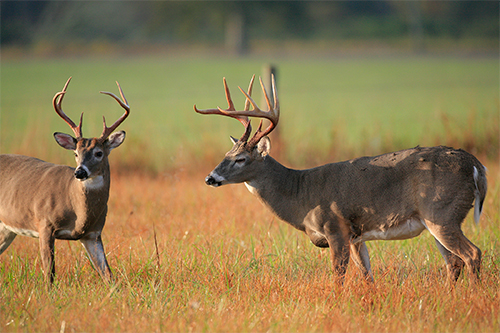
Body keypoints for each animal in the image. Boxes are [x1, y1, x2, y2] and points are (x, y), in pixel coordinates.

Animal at [0, 77, 129, 282]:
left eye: (99, 153)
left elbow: (108, 274)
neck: (78, 212)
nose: (79, 172)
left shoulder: (93, 233)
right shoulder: (44, 223)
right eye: (75, 153)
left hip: (7, 229)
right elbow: (50, 274)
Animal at [195, 74, 488, 282]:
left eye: (241, 159)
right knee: (454, 262)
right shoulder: (356, 237)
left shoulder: (335, 227)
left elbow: (338, 276)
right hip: (436, 220)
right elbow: (367, 276)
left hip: (442, 213)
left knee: (472, 254)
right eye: (227, 153)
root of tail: (476, 166)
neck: (301, 195)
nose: (210, 178)